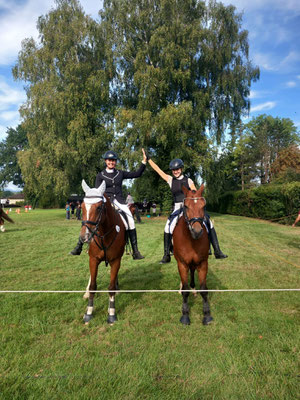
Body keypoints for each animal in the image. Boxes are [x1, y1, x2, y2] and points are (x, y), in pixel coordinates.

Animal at [79, 180, 125, 324]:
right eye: (82, 206)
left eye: (99, 207)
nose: (84, 237)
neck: (105, 233)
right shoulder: (93, 259)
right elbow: (93, 286)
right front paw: (88, 312)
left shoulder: (116, 260)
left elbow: (110, 288)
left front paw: (112, 313)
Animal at [172, 184, 212, 324]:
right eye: (186, 206)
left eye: (203, 206)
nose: (197, 231)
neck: (191, 239)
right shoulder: (182, 263)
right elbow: (185, 290)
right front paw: (185, 315)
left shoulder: (203, 263)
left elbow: (204, 290)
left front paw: (207, 315)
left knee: (193, 272)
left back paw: (194, 289)